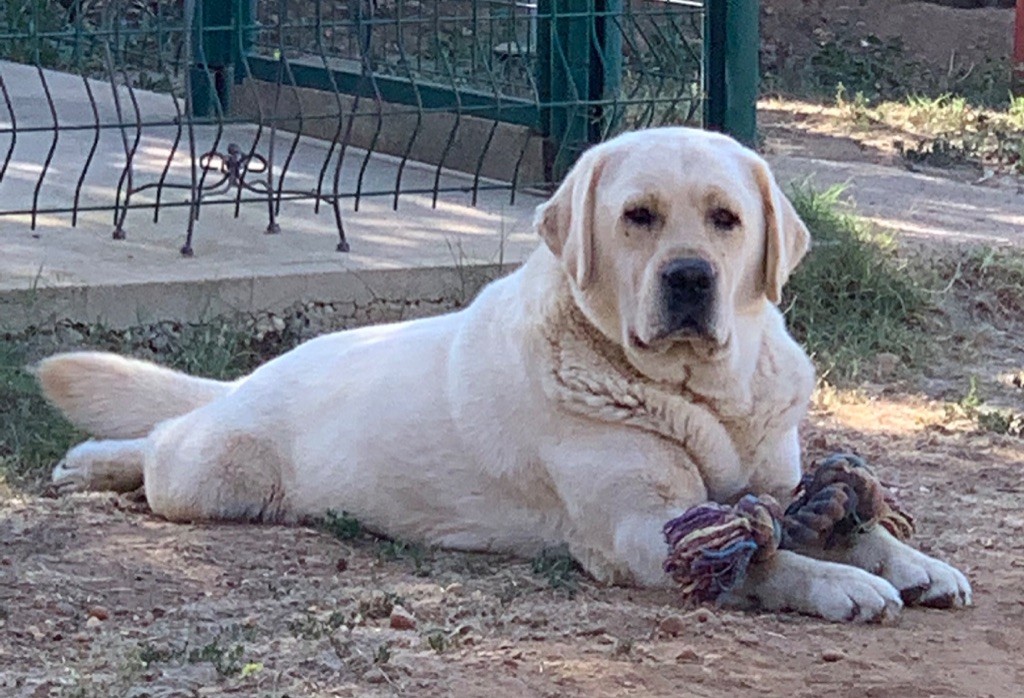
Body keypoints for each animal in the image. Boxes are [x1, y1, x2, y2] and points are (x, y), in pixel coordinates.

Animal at [37, 124, 966, 618]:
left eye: (726, 220)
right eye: (638, 216)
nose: (690, 277)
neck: (697, 393)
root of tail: (261, 374)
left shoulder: (776, 480)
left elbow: (844, 519)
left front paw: (908, 562)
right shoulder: (640, 531)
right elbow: (759, 557)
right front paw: (837, 584)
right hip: (217, 476)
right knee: (162, 441)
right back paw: (90, 464)